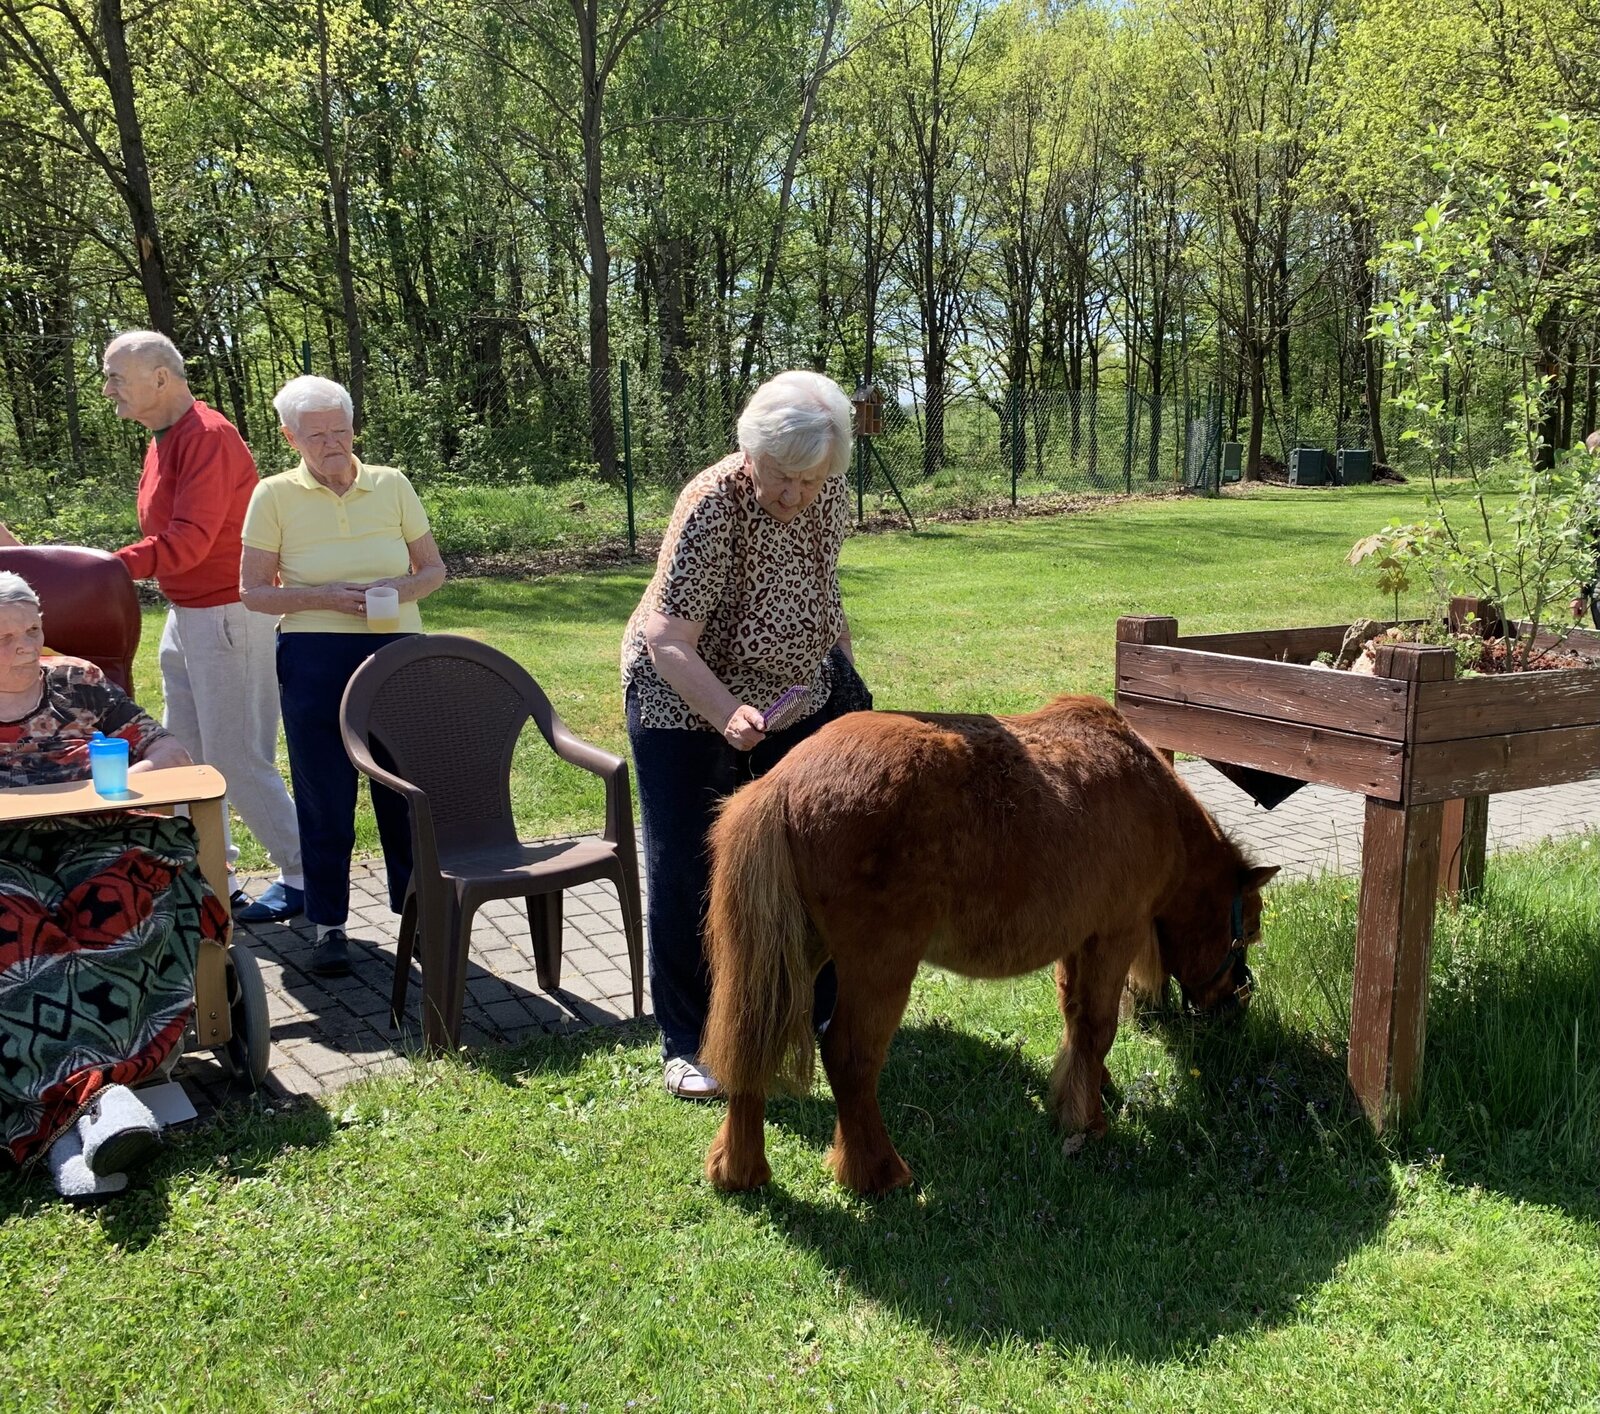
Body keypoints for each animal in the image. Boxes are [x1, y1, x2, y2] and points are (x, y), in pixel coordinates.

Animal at [700, 693, 1276, 1194]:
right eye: (1246, 930)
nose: (1237, 1002)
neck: (1153, 799)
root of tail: (781, 782)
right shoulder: (1116, 935)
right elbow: (1098, 1025)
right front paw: (1088, 1119)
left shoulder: (1079, 939)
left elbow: (1077, 1020)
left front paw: (1087, 1087)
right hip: (878, 965)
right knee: (849, 1056)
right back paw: (877, 1172)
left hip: (795, 955)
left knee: (752, 1045)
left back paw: (740, 1169)